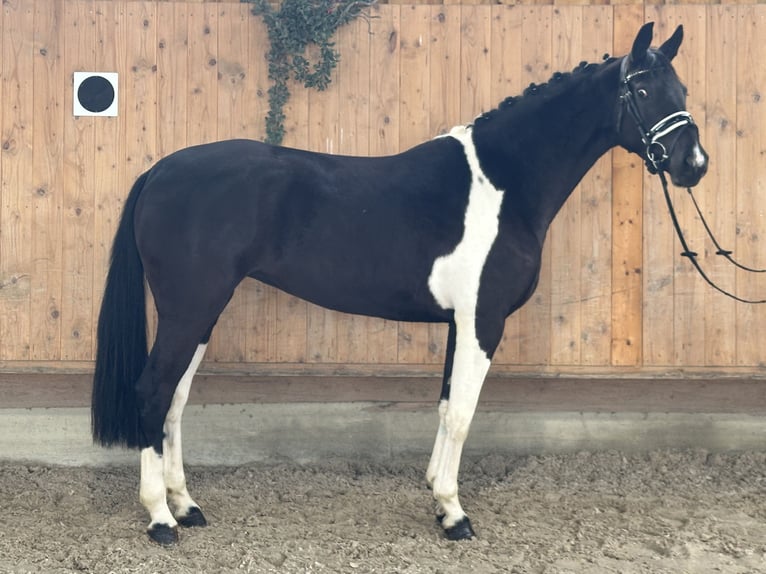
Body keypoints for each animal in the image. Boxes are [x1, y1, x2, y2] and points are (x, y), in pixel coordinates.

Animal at [93, 21, 712, 544]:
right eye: (644, 89)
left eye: (681, 87)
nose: (694, 164)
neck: (502, 184)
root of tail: (160, 171)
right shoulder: (483, 320)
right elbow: (462, 415)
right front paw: (456, 515)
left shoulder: (461, 323)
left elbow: (444, 408)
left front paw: (439, 499)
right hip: (189, 308)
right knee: (152, 392)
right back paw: (160, 519)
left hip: (201, 312)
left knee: (174, 400)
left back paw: (187, 506)